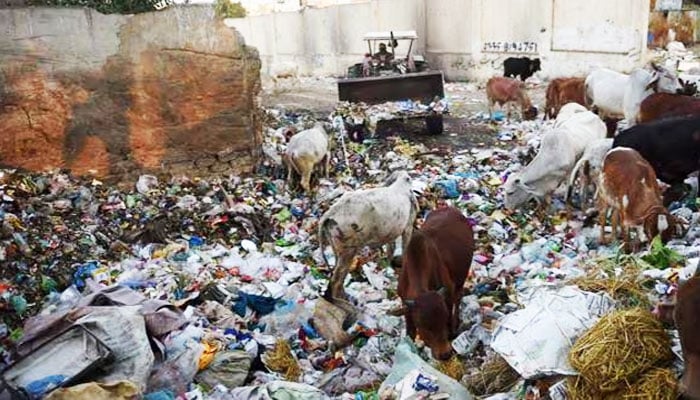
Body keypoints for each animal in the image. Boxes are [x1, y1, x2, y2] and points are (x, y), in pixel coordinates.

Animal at [392, 206, 474, 360]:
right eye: (424, 326)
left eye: (443, 319)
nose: (445, 354)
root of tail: (450, 208)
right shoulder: (406, 305)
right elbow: (410, 333)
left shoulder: (448, 293)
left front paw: (451, 331)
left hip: (461, 277)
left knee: (458, 298)